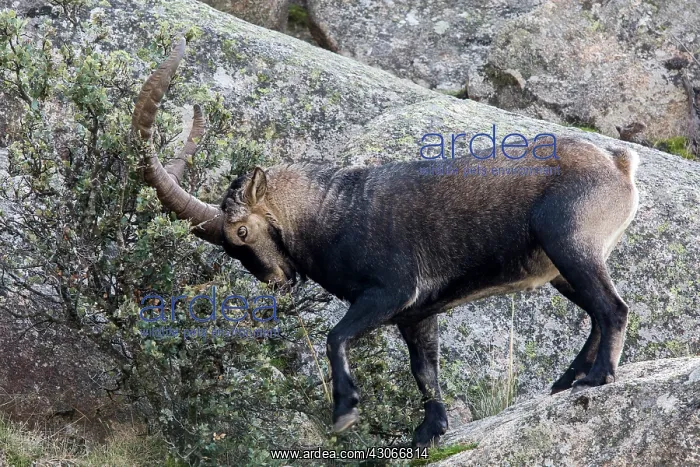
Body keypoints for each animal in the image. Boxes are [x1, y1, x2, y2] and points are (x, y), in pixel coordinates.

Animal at [131, 39, 639, 446]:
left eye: (241, 232)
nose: (276, 281)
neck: (331, 211)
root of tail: (618, 164)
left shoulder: (390, 292)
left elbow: (335, 336)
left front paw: (345, 412)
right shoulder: (417, 314)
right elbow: (424, 371)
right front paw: (430, 430)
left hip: (570, 244)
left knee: (613, 308)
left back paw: (597, 379)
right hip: (560, 267)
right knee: (596, 313)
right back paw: (566, 381)